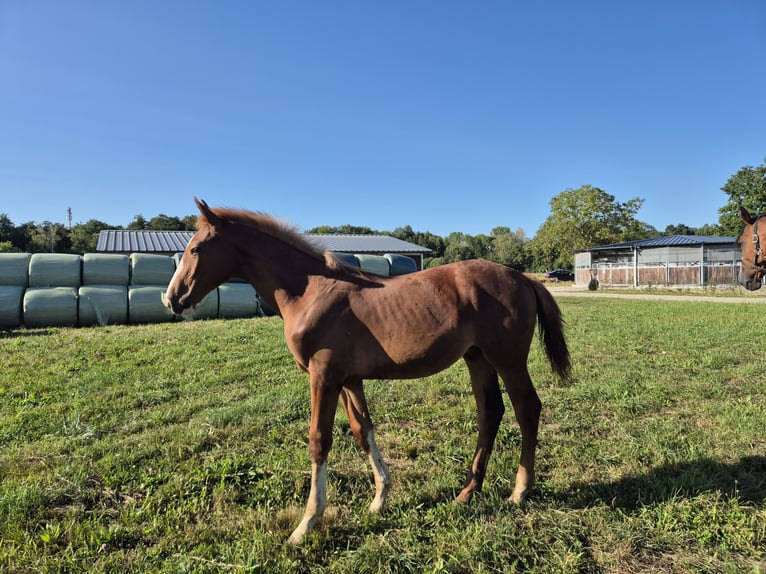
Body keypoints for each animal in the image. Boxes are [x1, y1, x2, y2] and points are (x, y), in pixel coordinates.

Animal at [165, 198, 568, 544]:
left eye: (196, 249)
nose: (172, 299)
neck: (308, 292)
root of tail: (523, 278)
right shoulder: (348, 380)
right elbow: (363, 431)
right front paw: (379, 499)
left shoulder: (324, 376)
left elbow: (319, 440)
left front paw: (306, 524)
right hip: (478, 358)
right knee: (490, 412)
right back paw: (467, 492)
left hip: (507, 359)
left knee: (526, 408)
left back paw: (519, 490)